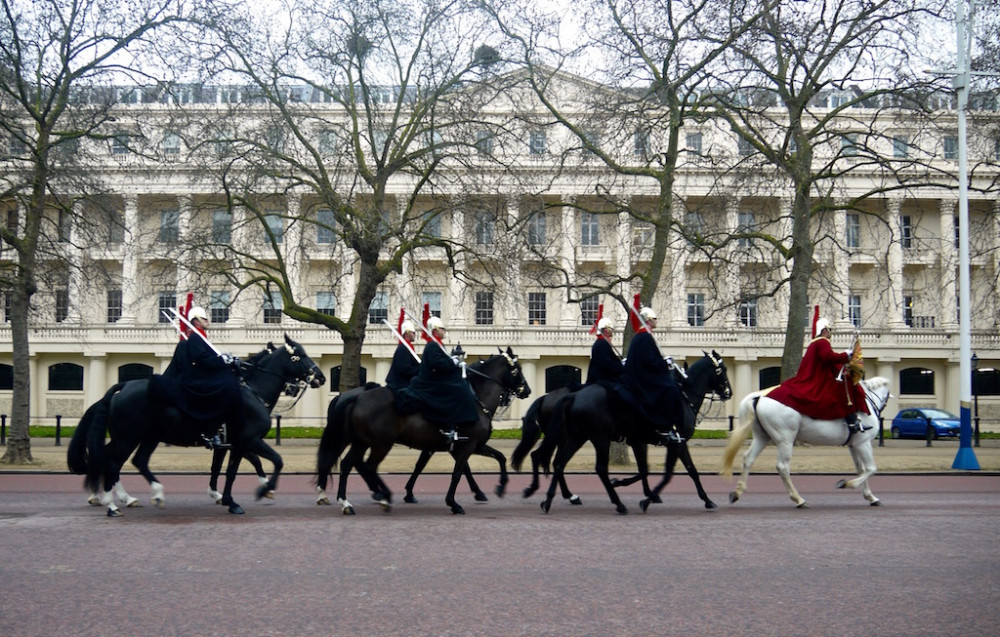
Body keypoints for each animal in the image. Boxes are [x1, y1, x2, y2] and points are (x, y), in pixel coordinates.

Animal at [67, 336, 324, 516]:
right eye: (299, 355)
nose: (320, 377)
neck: (253, 392)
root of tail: (123, 387)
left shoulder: (233, 444)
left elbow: (227, 470)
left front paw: (228, 498)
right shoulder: (248, 440)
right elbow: (272, 461)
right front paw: (262, 490)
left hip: (144, 438)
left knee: (131, 461)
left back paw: (135, 497)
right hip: (127, 437)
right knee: (111, 462)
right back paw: (113, 504)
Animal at [316, 346, 532, 516]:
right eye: (516, 370)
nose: (527, 391)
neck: (476, 399)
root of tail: (357, 397)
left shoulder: (470, 445)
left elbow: (498, 458)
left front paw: (499, 487)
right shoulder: (466, 445)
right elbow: (458, 472)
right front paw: (454, 503)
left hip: (361, 442)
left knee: (347, 464)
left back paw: (347, 503)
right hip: (379, 444)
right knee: (366, 466)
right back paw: (382, 496)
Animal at [540, 350, 728, 516]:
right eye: (723, 369)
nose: (728, 392)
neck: (684, 398)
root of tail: (574, 396)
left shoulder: (659, 442)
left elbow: (684, 470)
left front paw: (706, 500)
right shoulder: (671, 443)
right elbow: (667, 473)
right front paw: (644, 497)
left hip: (578, 437)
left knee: (559, 463)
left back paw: (550, 500)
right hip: (600, 439)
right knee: (599, 468)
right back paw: (618, 504)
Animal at [720, 378, 892, 506]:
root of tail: (760, 396)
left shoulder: (854, 445)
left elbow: (861, 469)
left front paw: (870, 497)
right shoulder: (864, 443)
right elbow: (870, 469)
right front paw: (847, 484)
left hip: (762, 438)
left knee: (748, 459)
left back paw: (737, 492)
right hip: (785, 440)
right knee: (782, 467)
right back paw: (798, 499)